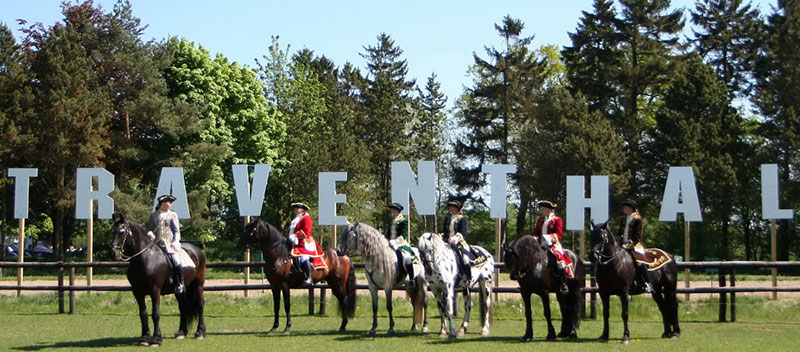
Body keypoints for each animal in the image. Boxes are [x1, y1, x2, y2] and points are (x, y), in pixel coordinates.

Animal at [109, 214, 206, 346]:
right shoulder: (137, 292)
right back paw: (181, 332)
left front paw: (156, 339)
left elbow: (155, 314)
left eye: (122, 232)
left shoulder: (155, 291)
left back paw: (200, 332)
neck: (145, 258)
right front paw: (144, 338)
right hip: (180, 291)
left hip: (198, 285)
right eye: (113, 231)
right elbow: (143, 314)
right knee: (182, 307)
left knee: (200, 305)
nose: (113, 253)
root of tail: (197, 250)